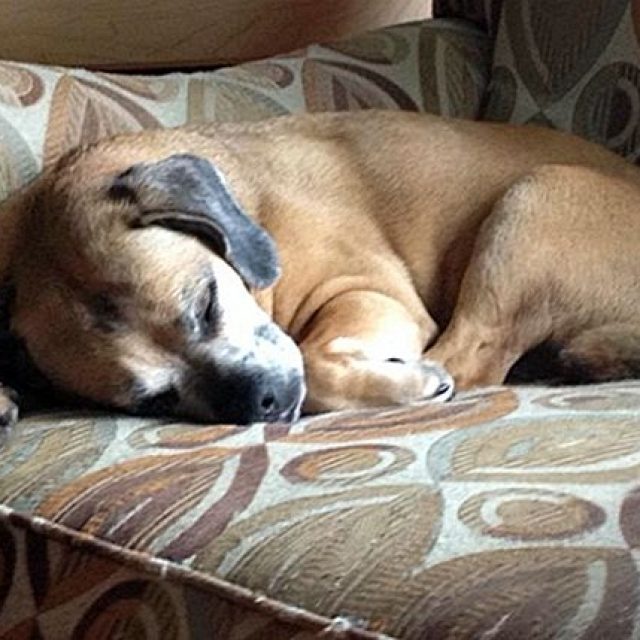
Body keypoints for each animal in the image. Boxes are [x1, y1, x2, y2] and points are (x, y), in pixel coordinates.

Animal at [0, 110, 639, 430]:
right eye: (154, 401)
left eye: (206, 304)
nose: (261, 401)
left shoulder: (368, 292)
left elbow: (314, 358)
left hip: (534, 198)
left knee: (472, 357)